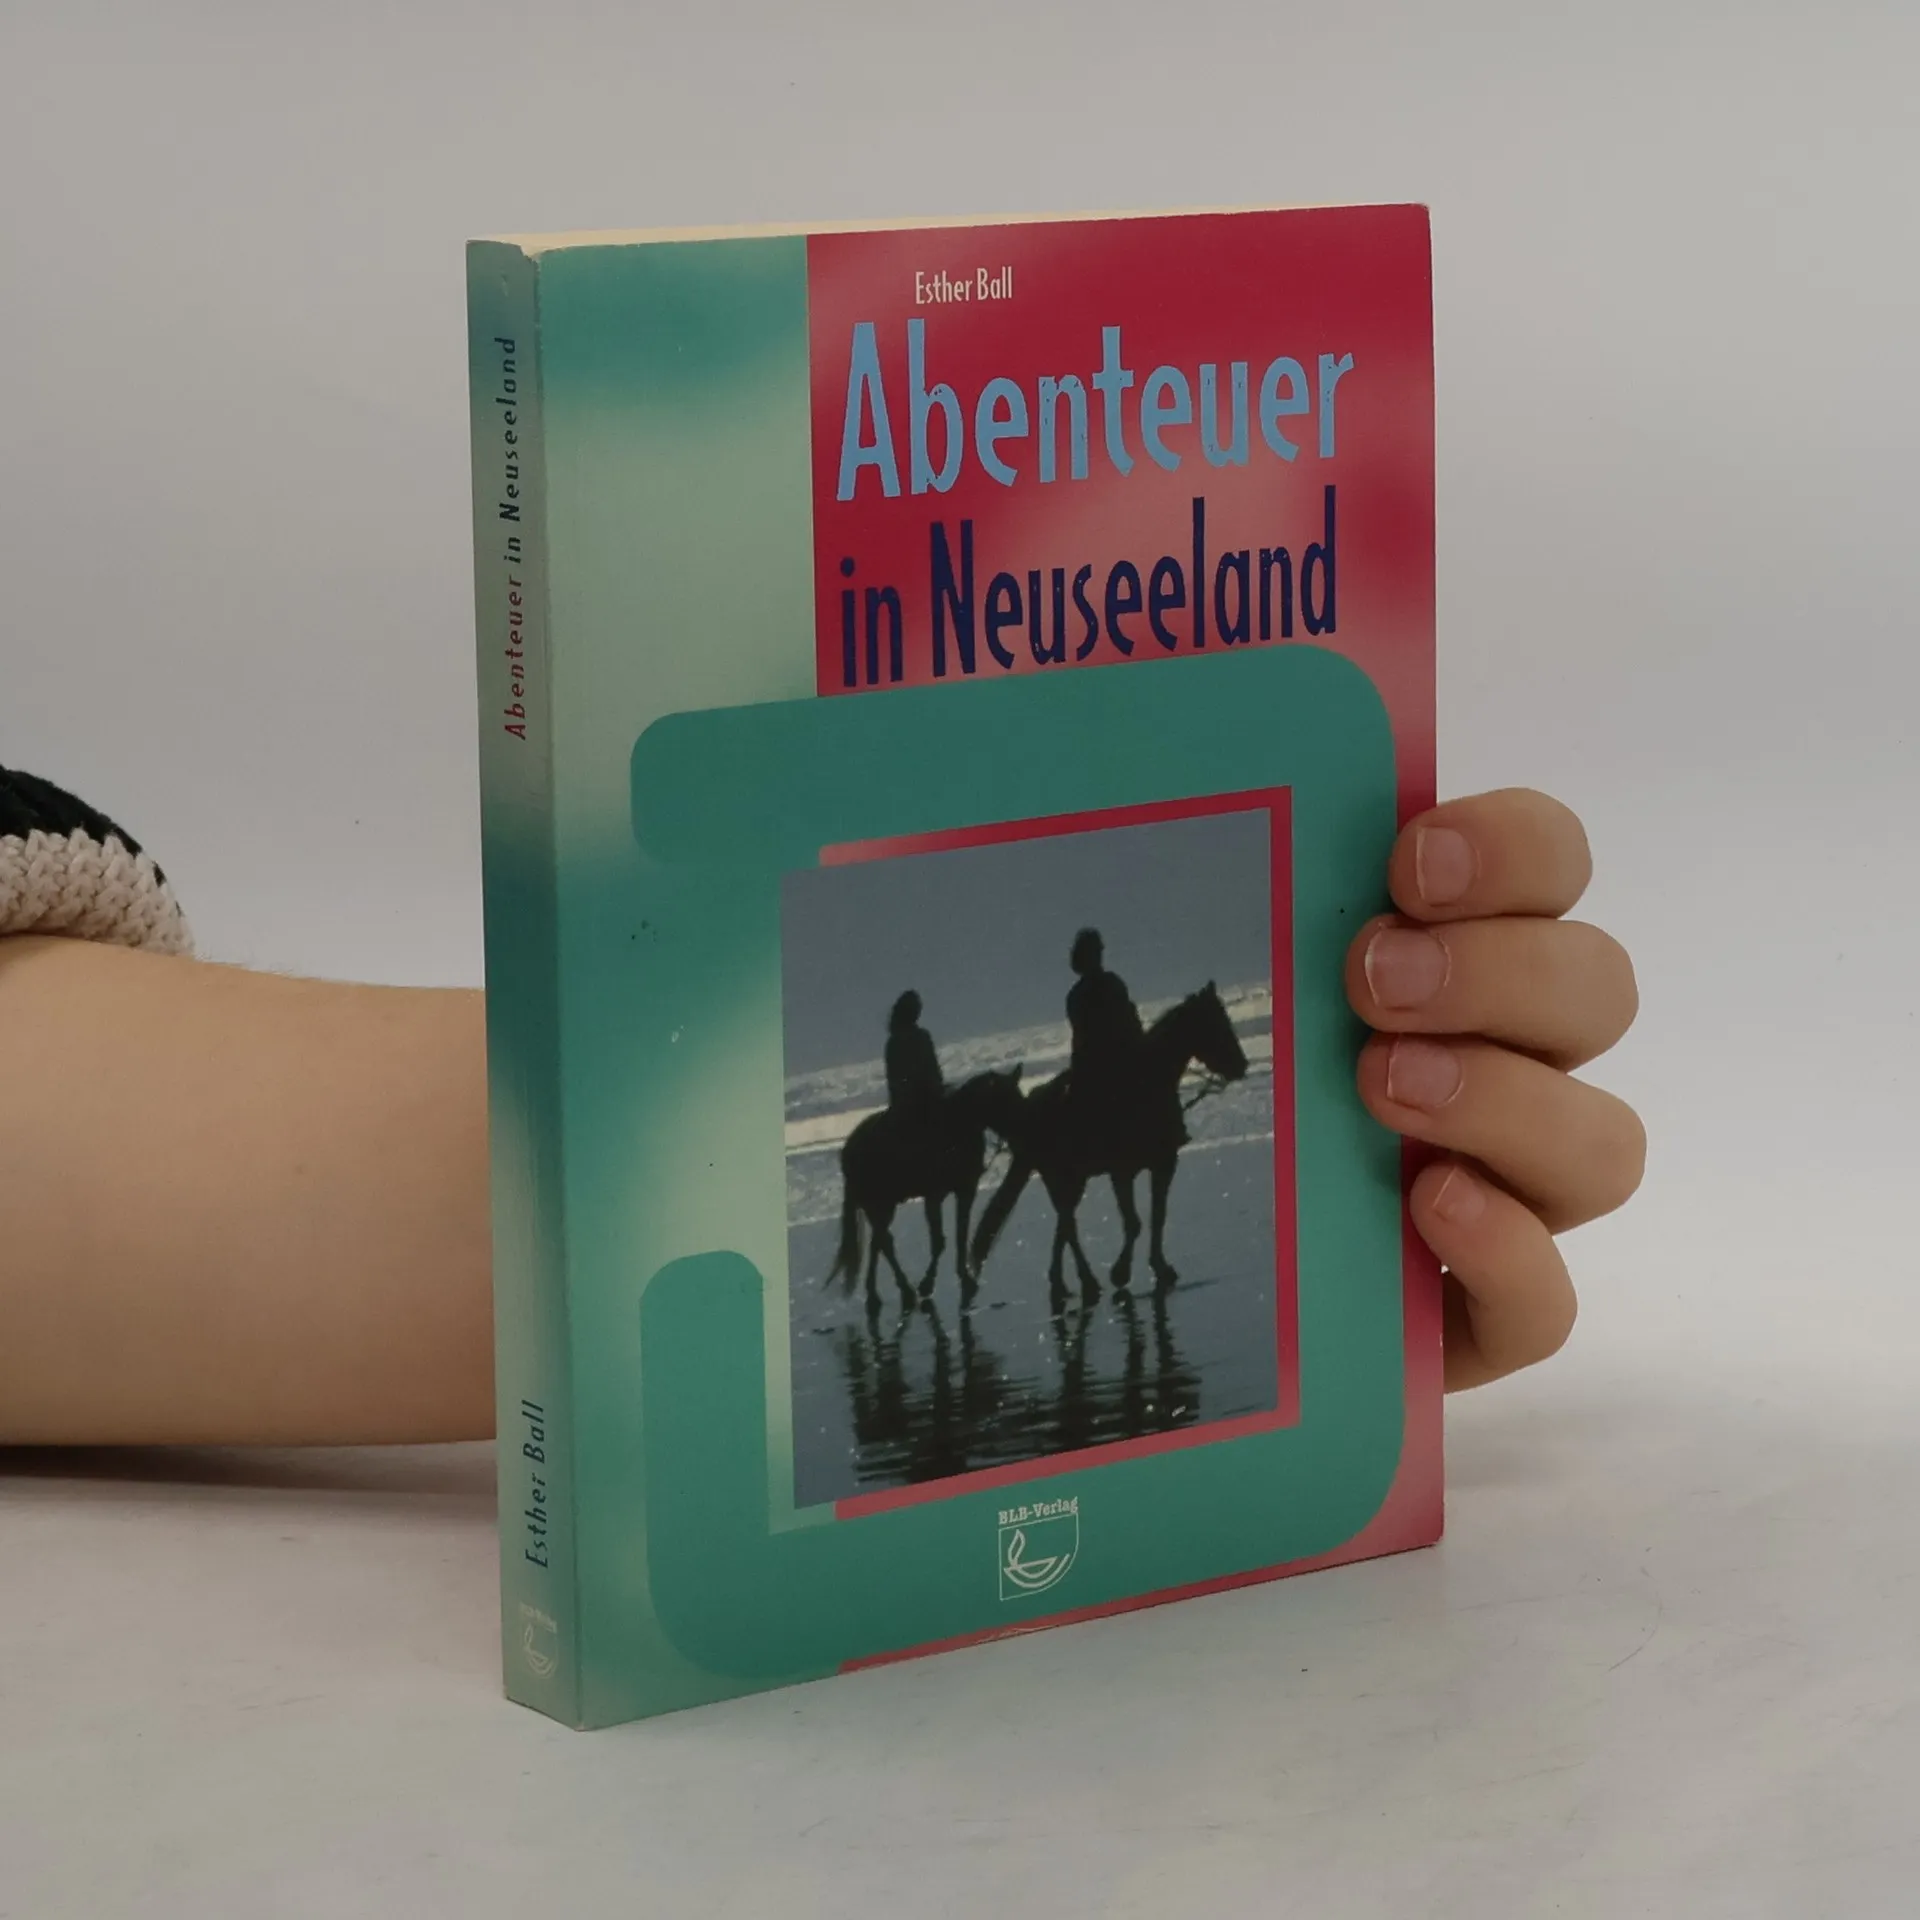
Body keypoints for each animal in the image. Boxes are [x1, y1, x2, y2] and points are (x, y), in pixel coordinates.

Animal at [828, 1066, 1027, 1307]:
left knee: (878, 1242)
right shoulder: (933, 1197)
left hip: (880, 1207)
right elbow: (938, 1241)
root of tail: (849, 1149)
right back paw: (901, 1290)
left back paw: (876, 1292)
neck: (953, 1129)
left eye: (1019, 1097)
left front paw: (964, 1277)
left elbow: (961, 1234)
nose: (1024, 1137)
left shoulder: (965, 1192)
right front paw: (927, 1284)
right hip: (879, 1206)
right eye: (1005, 1102)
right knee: (884, 1242)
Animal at [970, 984, 1248, 1302]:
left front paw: (1161, 1267)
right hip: (1059, 1177)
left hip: (1073, 1179)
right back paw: (1086, 1281)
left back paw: (1063, 1282)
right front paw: (1120, 1272)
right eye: (1216, 1024)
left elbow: (1158, 1216)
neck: (1146, 1087)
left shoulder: (1164, 1163)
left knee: (1063, 1225)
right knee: (1068, 1225)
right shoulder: (1121, 1172)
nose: (1242, 1065)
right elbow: (1134, 1222)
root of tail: (1027, 1114)